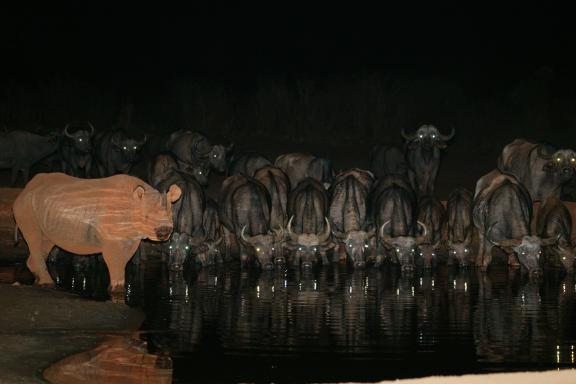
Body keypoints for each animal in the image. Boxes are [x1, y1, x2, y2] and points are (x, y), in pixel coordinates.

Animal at [12, 174, 180, 296]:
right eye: (146, 217)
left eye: (171, 215)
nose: (164, 232)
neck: (134, 203)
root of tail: (25, 189)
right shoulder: (113, 238)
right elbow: (115, 260)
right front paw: (117, 291)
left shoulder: (130, 236)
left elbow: (123, 260)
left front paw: (118, 288)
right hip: (26, 206)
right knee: (34, 238)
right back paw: (47, 283)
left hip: (42, 206)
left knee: (46, 241)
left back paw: (39, 278)